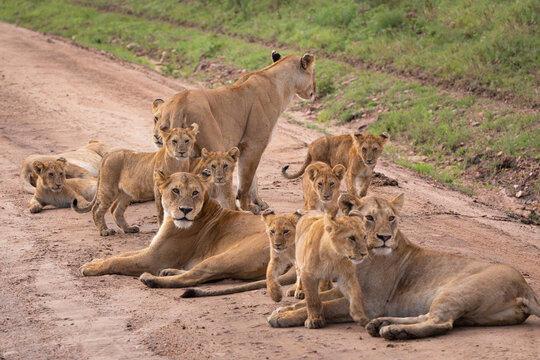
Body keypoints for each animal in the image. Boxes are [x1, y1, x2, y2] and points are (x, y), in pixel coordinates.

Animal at [78, 170, 274, 292]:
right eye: (175, 190)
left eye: (195, 192)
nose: (186, 210)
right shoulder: (152, 249)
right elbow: (122, 255)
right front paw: (95, 260)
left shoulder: (155, 258)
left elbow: (118, 262)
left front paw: (90, 267)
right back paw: (169, 272)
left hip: (226, 256)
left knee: (195, 277)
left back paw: (151, 279)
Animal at [151, 51, 316, 214]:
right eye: (312, 72)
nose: (314, 92)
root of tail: (179, 104)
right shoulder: (254, 144)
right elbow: (247, 180)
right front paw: (248, 206)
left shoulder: (247, 147)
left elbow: (253, 179)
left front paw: (259, 202)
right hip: (215, 151)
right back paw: (238, 211)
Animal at [268, 193, 540, 338]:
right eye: (369, 217)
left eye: (391, 218)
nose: (385, 237)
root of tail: (526, 286)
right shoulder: (346, 288)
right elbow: (317, 299)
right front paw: (286, 309)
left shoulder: (371, 303)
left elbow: (326, 305)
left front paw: (283, 317)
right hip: (474, 314)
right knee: (429, 316)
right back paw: (383, 324)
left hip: (457, 292)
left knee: (441, 323)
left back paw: (393, 331)